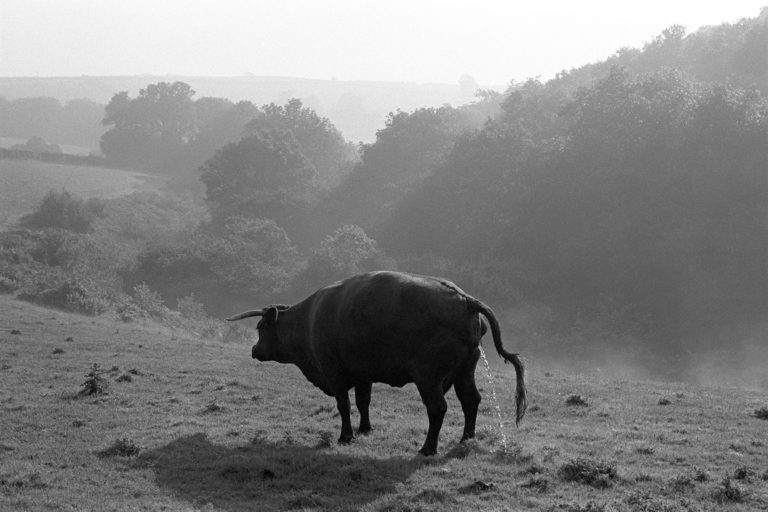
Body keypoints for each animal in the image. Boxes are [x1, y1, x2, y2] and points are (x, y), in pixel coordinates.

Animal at [228, 270, 528, 454]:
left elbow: (344, 405)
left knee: (438, 408)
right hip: (465, 369)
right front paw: (365, 429)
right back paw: (467, 438)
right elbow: (363, 402)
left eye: (260, 328)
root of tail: (464, 298)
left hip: (428, 376)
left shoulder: (334, 372)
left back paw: (428, 449)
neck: (309, 319)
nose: (254, 349)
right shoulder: (363, 374)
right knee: (471, 400)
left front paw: (346, 436)